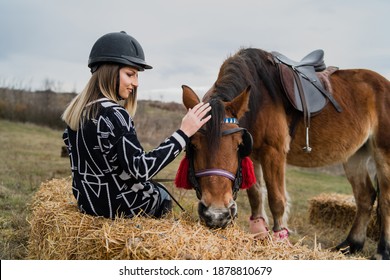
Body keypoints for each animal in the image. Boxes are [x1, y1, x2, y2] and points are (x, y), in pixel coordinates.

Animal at [179, 48, 390, 260]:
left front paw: (280, 238)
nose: (216, 215)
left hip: (383, 153)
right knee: (365, 196)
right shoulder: (253, 155)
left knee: (385, 199)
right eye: (193, 145)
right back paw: (351, 244)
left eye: (238, 145)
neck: (258, 99)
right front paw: (259, 233)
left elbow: (276, 199)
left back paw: (382, 250)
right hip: (355, 155)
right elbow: (256, 195)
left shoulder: (274, 152)